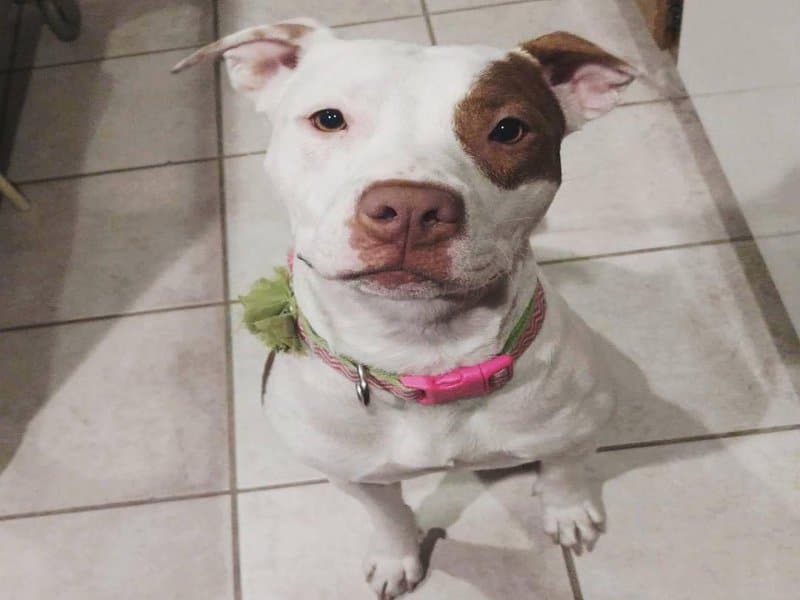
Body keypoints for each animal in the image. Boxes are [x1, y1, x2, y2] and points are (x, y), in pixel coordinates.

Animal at [175, 17, 636, 596]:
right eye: (329, 119)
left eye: (509, 130)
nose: (412, 207)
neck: (424, 354)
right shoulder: (353, 474)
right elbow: (386, 513)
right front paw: (396, 556)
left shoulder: (577, 426)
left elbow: (564, 468)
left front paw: (569, 510)